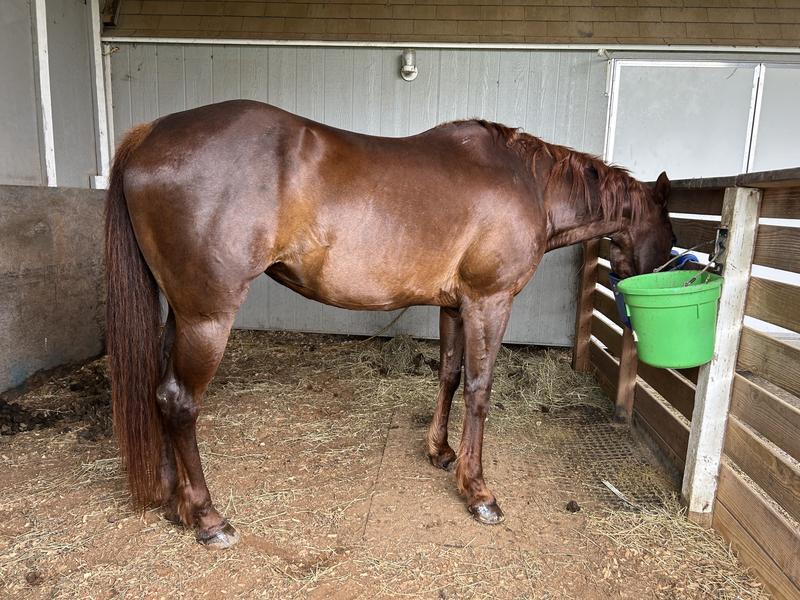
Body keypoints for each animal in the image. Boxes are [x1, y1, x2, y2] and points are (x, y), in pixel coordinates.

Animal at [105, 100, 674, 548]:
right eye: (670, 233)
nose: (653, 279)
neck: (526, 183)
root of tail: (149, 135)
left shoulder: (455, 305)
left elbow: (449, 375)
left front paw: (441, 452)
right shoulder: (489, 301)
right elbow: (480, 389)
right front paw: (478, 490)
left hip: (180, 315)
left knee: (159, 392)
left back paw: (173, 499)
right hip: (207, 317)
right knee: (180, 401)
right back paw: (207, 517)